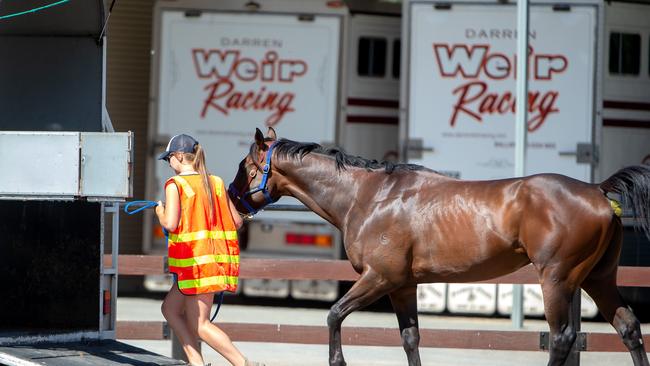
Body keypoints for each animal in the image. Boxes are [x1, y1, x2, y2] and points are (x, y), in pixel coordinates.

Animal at [228, 128, 648, 366]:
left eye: (248, 166)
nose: (232, 198)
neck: (369, 196)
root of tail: (597, 190)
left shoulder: (379, 279)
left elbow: (334, 316)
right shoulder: (402, 287)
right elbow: (410, 338)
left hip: (557, 281)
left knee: (562, 338)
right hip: (598, 279)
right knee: (628, 328)